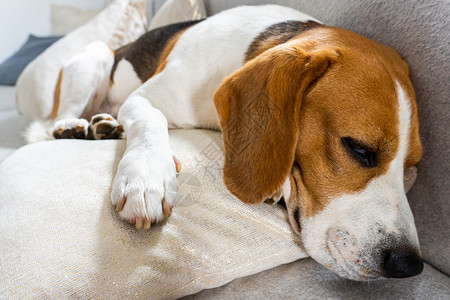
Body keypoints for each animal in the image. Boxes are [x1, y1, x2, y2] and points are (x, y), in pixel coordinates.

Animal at [27, 5, 422, 282]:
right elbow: (152, 122)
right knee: (60, 117)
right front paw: (146, 179)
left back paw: (106, 126)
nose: (408, 265)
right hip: (93, 58)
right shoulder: (143, 99)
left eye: (411, 167)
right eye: (358, 148)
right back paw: (73, 126)